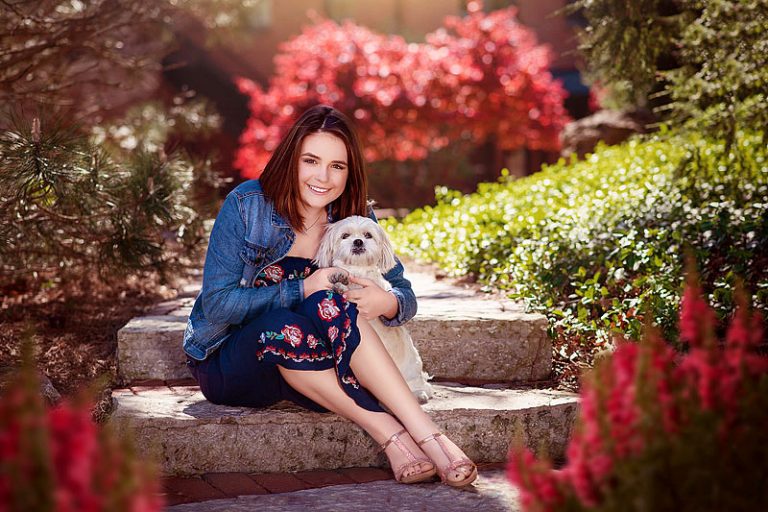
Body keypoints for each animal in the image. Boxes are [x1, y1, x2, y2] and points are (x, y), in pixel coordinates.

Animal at [312, 214, 432, 402]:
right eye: (345, 236)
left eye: (368, 235)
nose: (358, 241)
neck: (357, 271)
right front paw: (339, 280)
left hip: (409, 373)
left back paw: (418, 394)